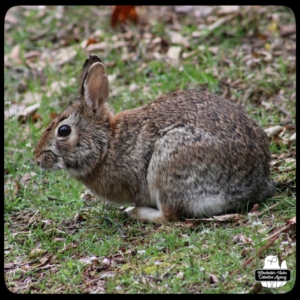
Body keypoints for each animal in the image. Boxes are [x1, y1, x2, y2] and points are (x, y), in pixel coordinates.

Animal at [34, 54, 276, 223]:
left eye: (64, 130)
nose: (36, 158)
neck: (106, 145)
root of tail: (253, 183)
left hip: (168, 164)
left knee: (170, 215)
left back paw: (135, 212)